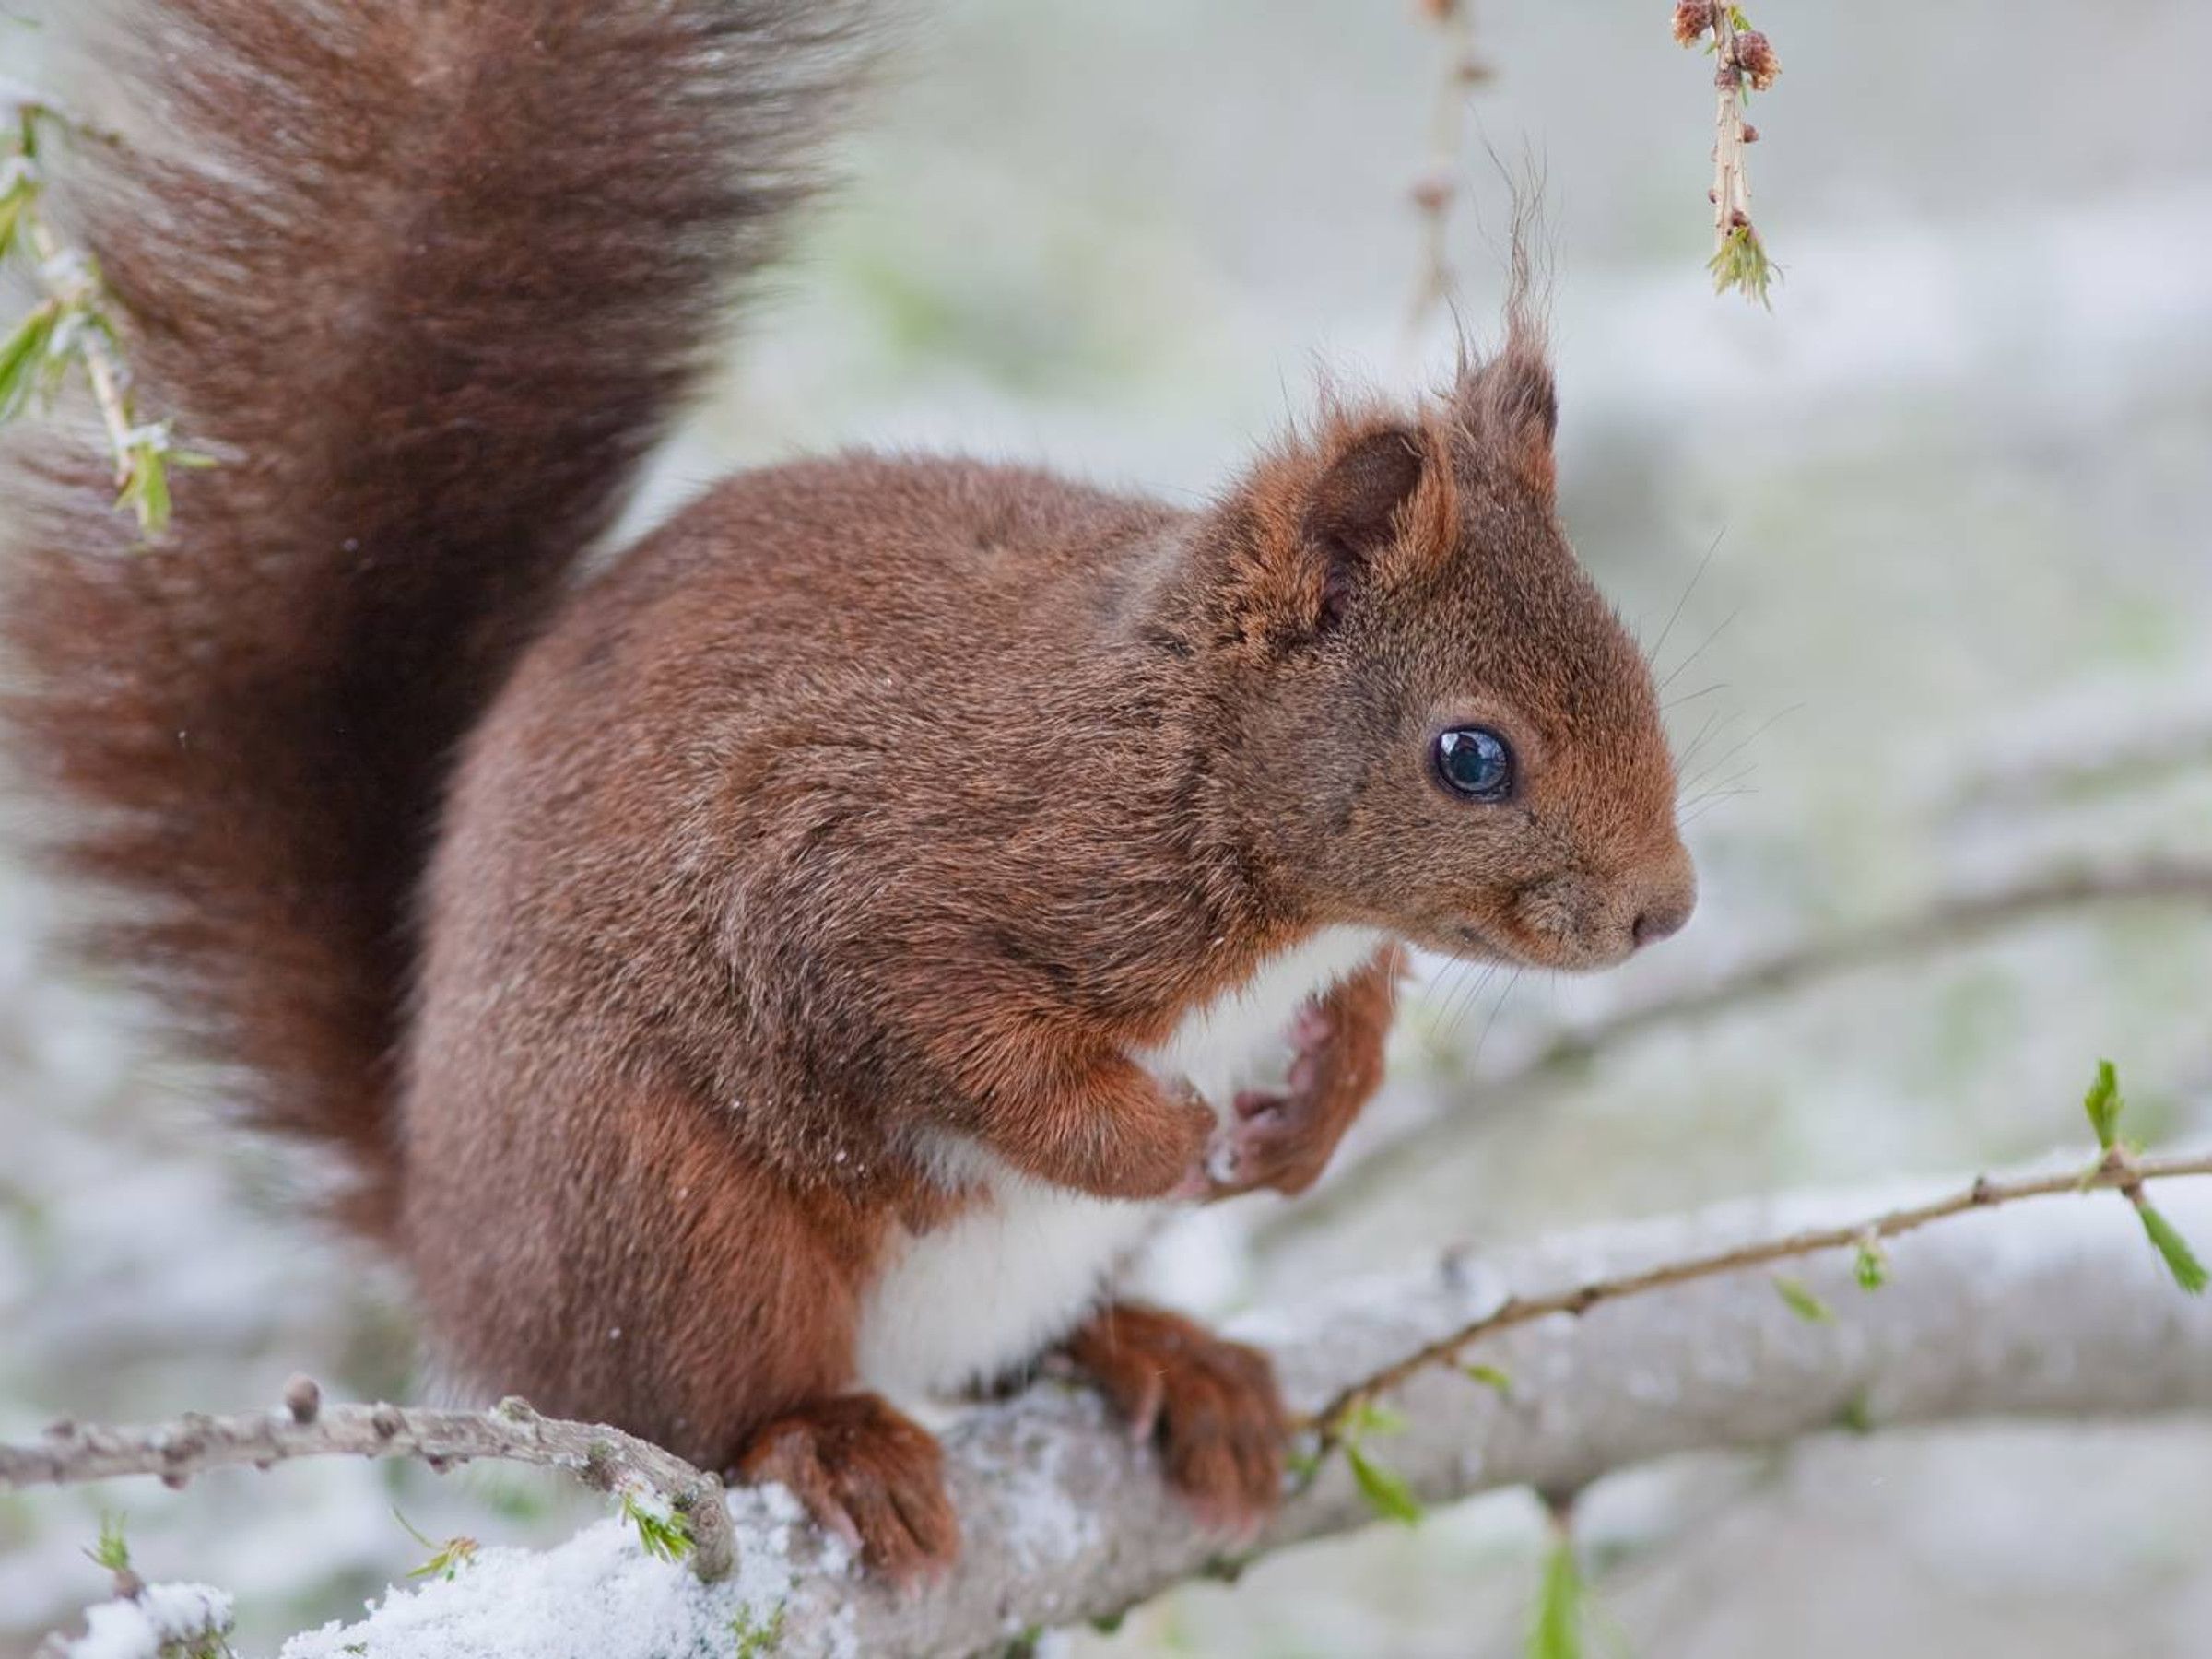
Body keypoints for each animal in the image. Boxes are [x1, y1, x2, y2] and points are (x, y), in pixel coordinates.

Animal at [0, 0, 1694, 1580]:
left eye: (1637, 663)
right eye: (1470, 755)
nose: (1664, 914)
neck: (1181, 753)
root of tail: (441, 1227)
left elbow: (1357, 996)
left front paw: (1319, 1109)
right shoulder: (887, 869)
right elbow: (946, 1028)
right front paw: (1158, 1138)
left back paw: (1162, 1357)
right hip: (672, 1218)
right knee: (708, 1404)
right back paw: (833, 1440)